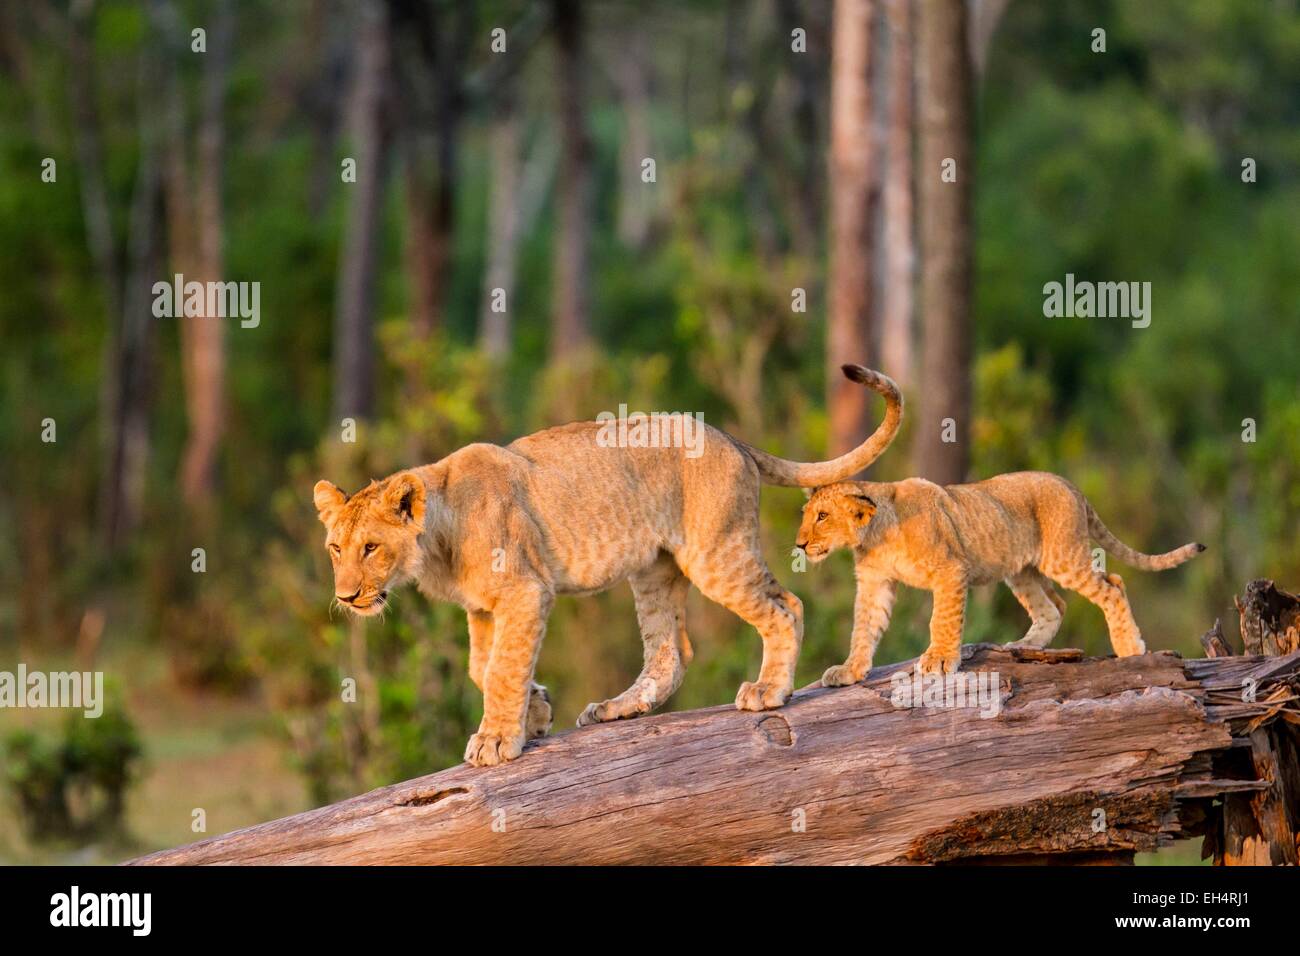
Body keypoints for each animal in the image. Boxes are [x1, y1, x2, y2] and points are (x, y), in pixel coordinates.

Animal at [314, 365, 902, 766]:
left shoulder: (525, 591)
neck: (436, 540)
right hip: (654, 570)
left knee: (786, 606)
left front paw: (497, 739)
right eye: (336, 549)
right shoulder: (482, 609)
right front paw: (537, 710)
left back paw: (769, 692)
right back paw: (619, 708)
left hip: (715, 553)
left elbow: (501, 668)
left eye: (371, 548)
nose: (345, 597)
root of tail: (729, 437)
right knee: (670, 652)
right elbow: (485, 668)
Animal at [794, 472, 1204, 682]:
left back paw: (1130, 647)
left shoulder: (950, 570)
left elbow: (941, 621)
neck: (875, 535)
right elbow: (863, 629)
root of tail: (1066, 481)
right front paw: (850, 671)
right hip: (1021, 570)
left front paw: (939, 661)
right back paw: (1025, 647)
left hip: (1063, 556)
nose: (799, 544)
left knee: (1112, 586)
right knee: (1054, 606)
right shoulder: (874, 583)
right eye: (807, 514)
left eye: (822, 516)